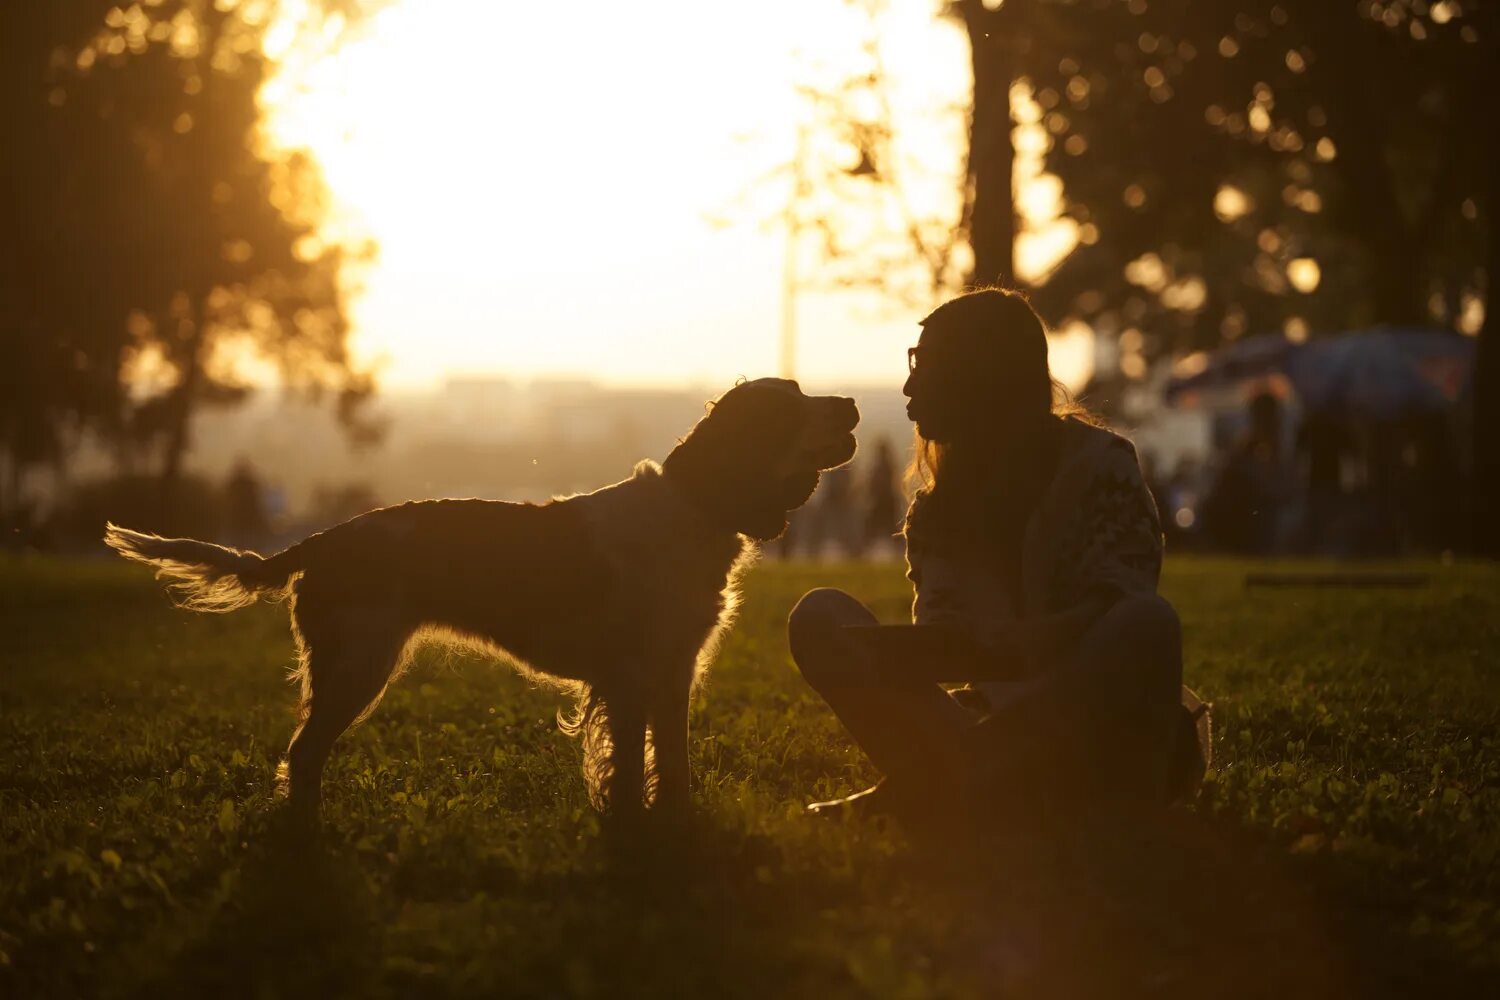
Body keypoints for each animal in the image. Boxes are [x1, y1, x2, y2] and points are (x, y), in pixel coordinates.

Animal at [105, 379, 864, 827]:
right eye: (793, 402)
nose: (854, 404)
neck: (694, 507)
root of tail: (318, 543)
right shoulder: (627, 678)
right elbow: (626, 767)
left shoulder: (671, 671)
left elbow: (671, 761)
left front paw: (676, 821)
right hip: (356, 666)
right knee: (303, 750)